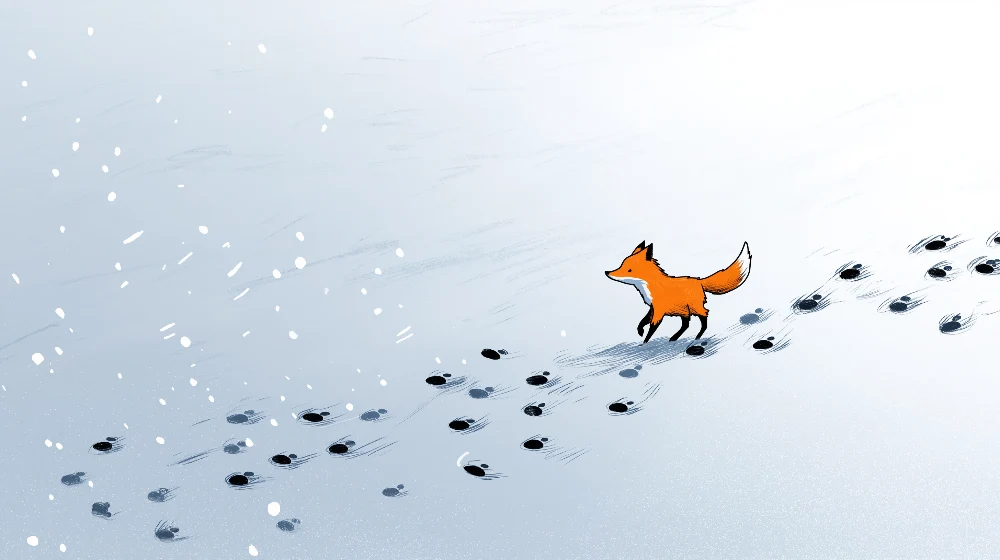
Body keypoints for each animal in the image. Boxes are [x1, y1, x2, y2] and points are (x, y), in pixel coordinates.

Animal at [605, 241, 752, 343]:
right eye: (621, 265)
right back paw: (674, 338)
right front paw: (640, 332)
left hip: (694, 308)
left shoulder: (659, 311)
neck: (651, 285)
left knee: (704, 316)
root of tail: (699, 281)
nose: (607, 273)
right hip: (684, 310)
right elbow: (642, 321)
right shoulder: (653, 308)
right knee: (686, 324)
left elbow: (651, 329)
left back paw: (697, 337)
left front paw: (644, 343)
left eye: (629, 270)